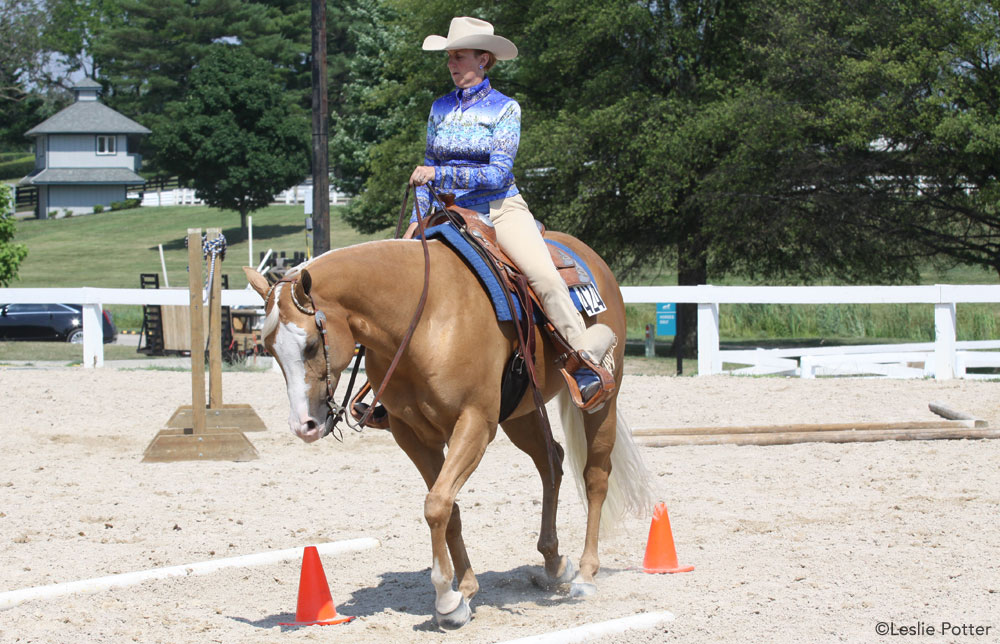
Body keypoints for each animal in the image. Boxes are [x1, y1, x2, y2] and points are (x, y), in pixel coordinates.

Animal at [245, 231, 652, 628]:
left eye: (312, 345)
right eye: (268, 347)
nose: (305, 425)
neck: (422, 318)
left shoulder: (474, 424)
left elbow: (437, 504)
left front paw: (445, 598)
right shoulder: (412, 436)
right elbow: (446, 507)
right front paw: (465, 592)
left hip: (602, 399)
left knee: (595, 475)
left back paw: (585, 574)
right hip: (519, 415)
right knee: (551, 462)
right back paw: (554, 563)